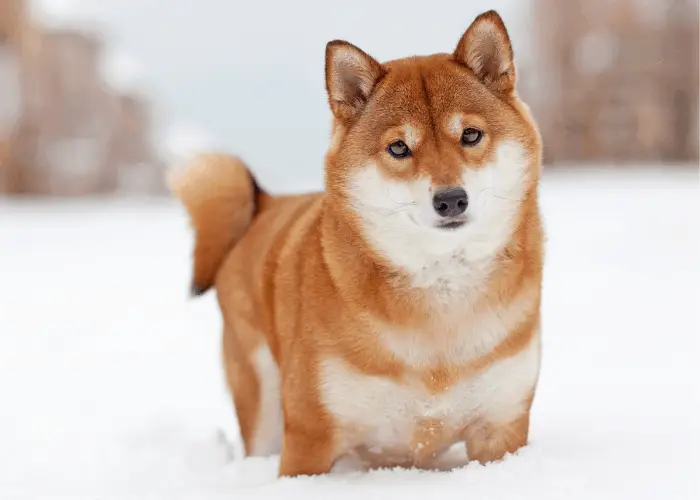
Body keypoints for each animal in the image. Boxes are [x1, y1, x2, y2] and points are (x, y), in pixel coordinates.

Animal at [170, 8, 540, 476]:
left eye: (470, 135)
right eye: (398, 147)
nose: (451, 200)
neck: (439, 306)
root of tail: (264, 205)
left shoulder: (500, 428)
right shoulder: (310, 437)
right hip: (263, 404)